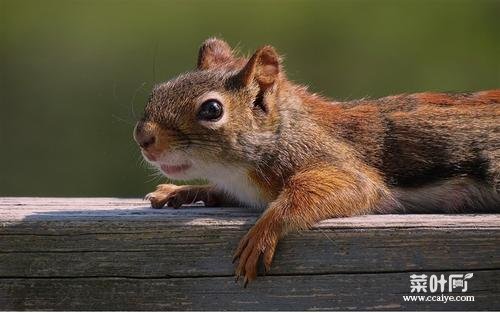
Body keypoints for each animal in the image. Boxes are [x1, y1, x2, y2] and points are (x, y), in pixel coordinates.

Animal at [134, 37, 500, 286]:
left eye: (212, 109)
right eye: (157, 90)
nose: (142, 137)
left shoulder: (336, 160)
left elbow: (343, 187)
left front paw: (263, 231)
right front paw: (176, 192)